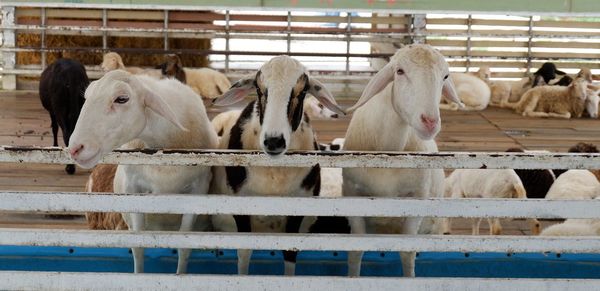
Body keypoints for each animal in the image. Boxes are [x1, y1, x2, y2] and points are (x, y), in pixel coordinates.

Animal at [68, 69, 218, 274]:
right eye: (86, 96)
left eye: (122, 99)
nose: (75, 149)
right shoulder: (133, 189)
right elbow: (138, 246)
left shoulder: (198, 190)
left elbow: (184, 247)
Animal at [211, 54, 344, 276]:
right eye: (258, 89)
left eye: (303, 91)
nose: (274, 141)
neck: (274, 177)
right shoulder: (240, 207)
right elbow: (244, 251)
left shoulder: (298, 211)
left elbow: (289, 251)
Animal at [340, 43, 462, 278]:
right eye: (399, 71)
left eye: (445, 76)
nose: (430, 122)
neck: (388, 152)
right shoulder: (352, 194)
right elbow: (355, 251)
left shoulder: (417, 199)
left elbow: (407, 253)